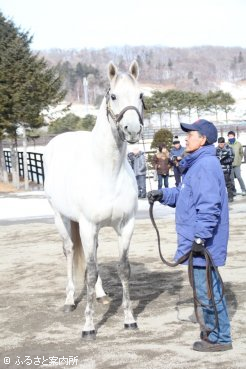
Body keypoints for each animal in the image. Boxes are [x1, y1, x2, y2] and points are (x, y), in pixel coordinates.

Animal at [43, 60, 144, 340]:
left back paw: (100, 295)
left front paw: (129, 319)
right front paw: (88, 326)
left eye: (141, 95)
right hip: (61, 219)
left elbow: (123, 269)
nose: (133, 130)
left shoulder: (126, 225)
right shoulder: (87, 226)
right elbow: (88, 273)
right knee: (69, 251)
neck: (107, 171)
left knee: (94, 257)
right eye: (114, 96)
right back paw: (69, 301)